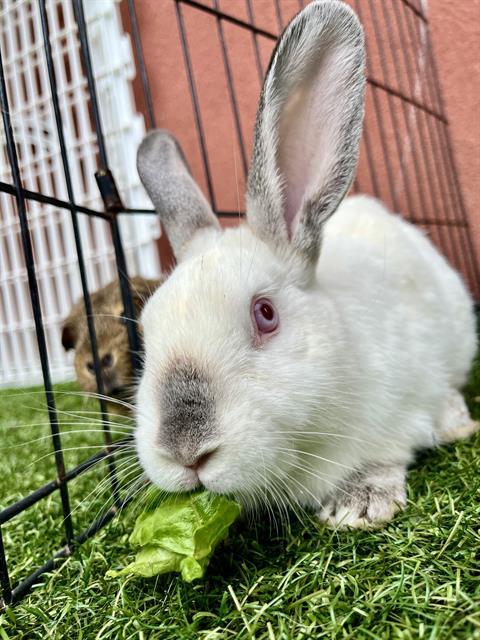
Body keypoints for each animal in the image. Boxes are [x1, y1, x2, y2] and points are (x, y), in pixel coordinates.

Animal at [133, 0, 478, 527]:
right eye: (145, 333)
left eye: (266, 314)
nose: (186, 450)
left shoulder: (404, 407)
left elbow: (391, 450)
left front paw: (359, 503)